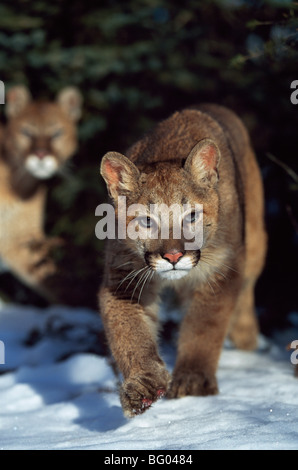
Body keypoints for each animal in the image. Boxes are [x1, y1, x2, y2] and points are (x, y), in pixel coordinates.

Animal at [99, 103, 268, 418]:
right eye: (147, 221)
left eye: (191, 216)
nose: (174, 256)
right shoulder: (123, 279)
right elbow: (129, 332)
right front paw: (143, 385)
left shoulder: (222, 271)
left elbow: (203, 326)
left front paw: (193, 382)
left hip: (254, 246)